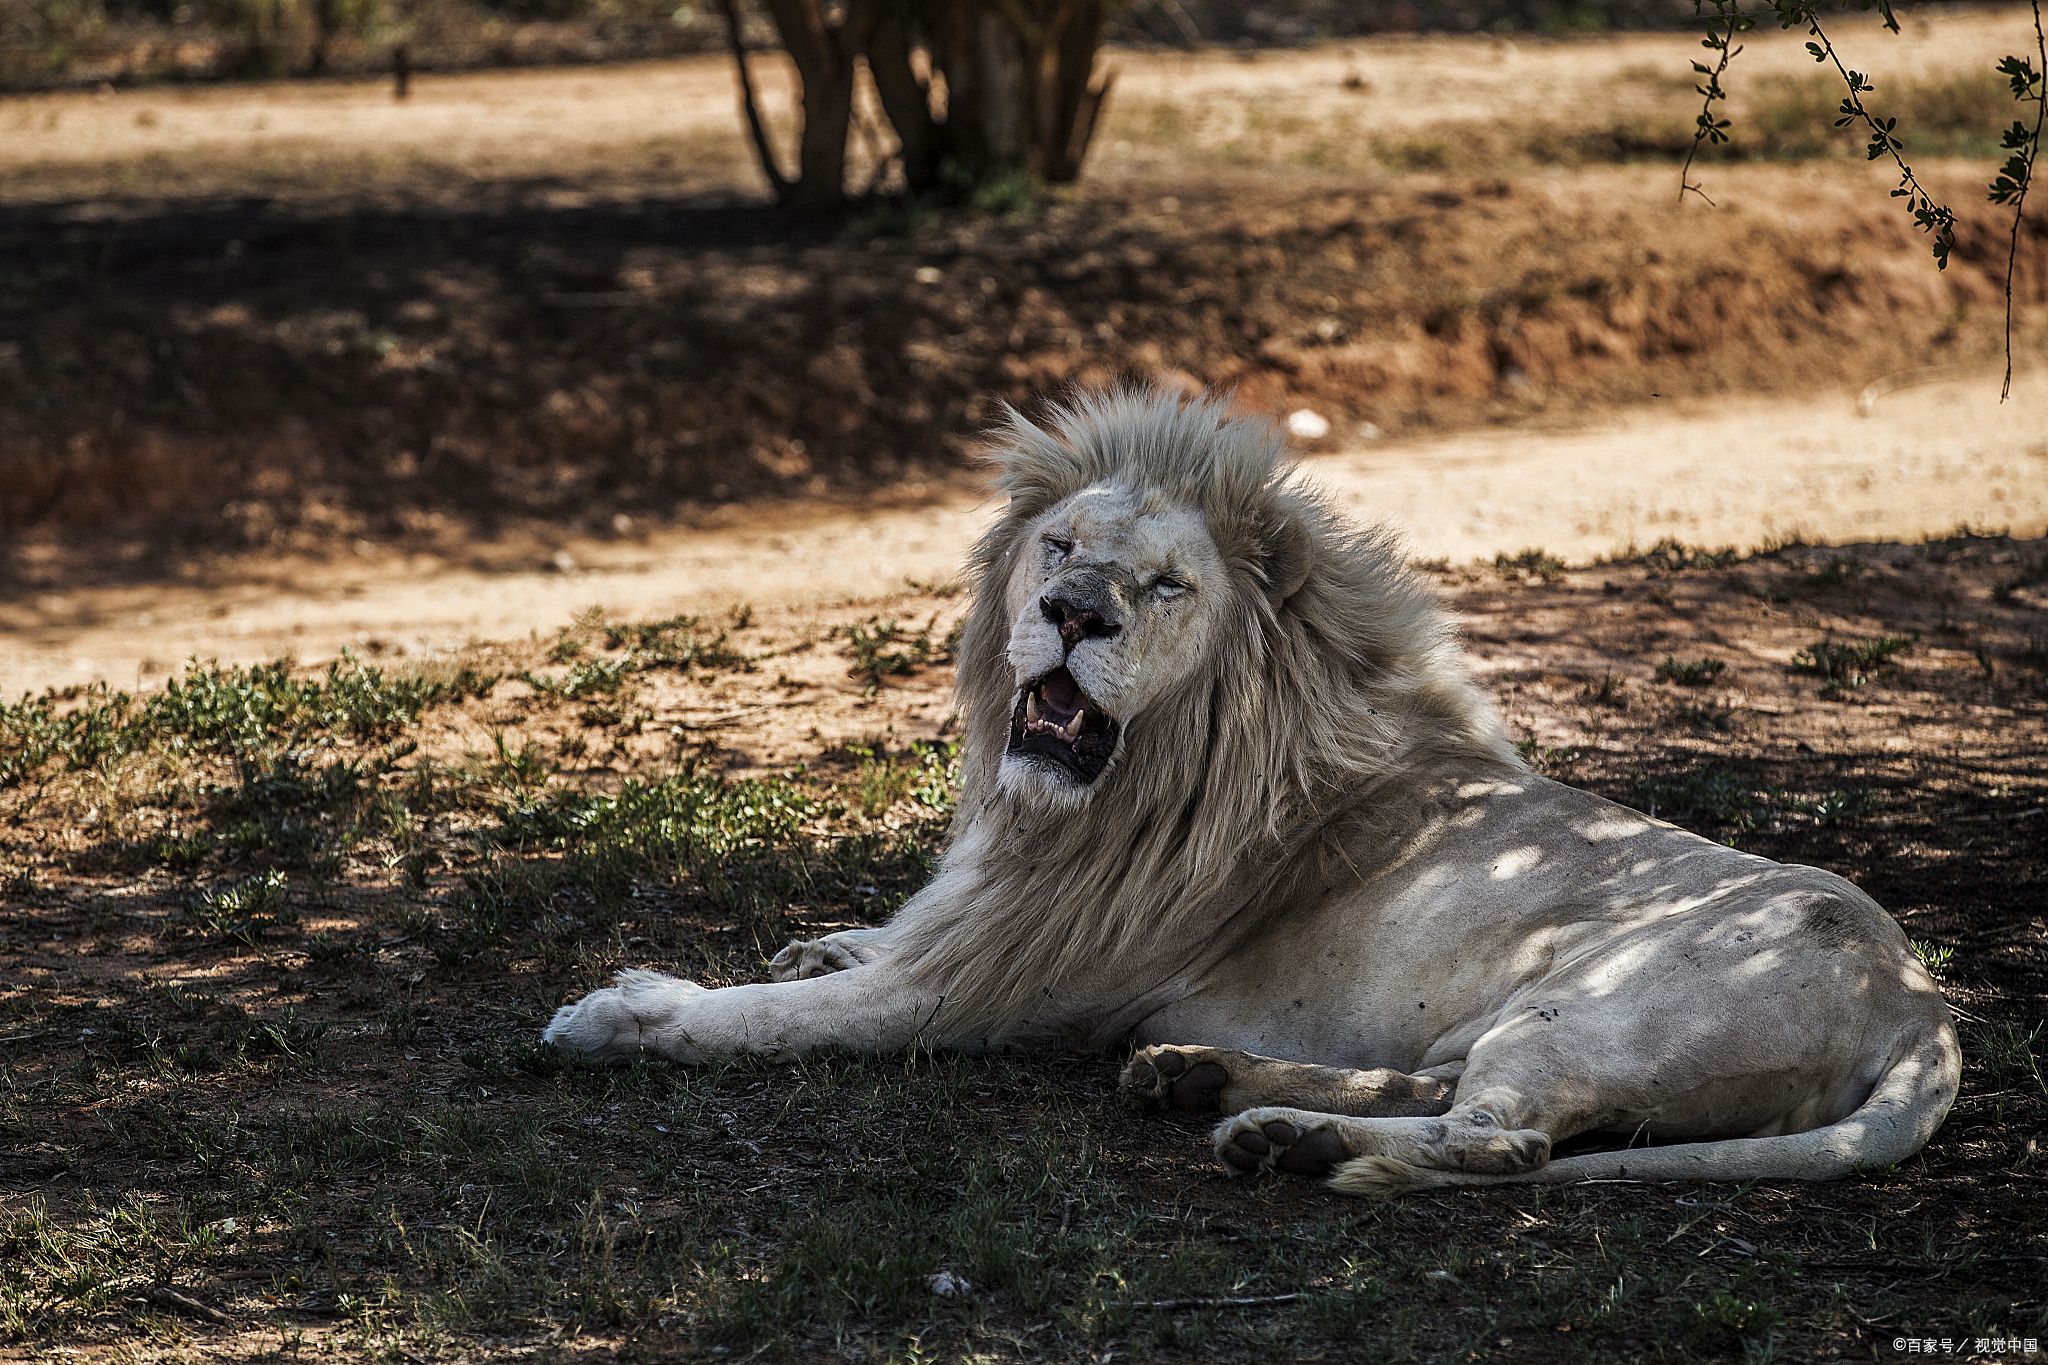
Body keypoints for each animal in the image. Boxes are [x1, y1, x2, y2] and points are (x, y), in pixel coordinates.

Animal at [536, 384, 1957, 1195]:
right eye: (1056, 545)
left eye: (1165, 585)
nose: (1070, 612)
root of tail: (1922, 1010)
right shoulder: (984, 914)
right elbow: (862, 943)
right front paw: (819, 937)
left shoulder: (993, 990)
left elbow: (778, 1020)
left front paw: (624, 1015)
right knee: (1446, 1091)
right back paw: (1208, 1083)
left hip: (1595, 1007)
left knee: (1502, 1143)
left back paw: (1287, 1143)